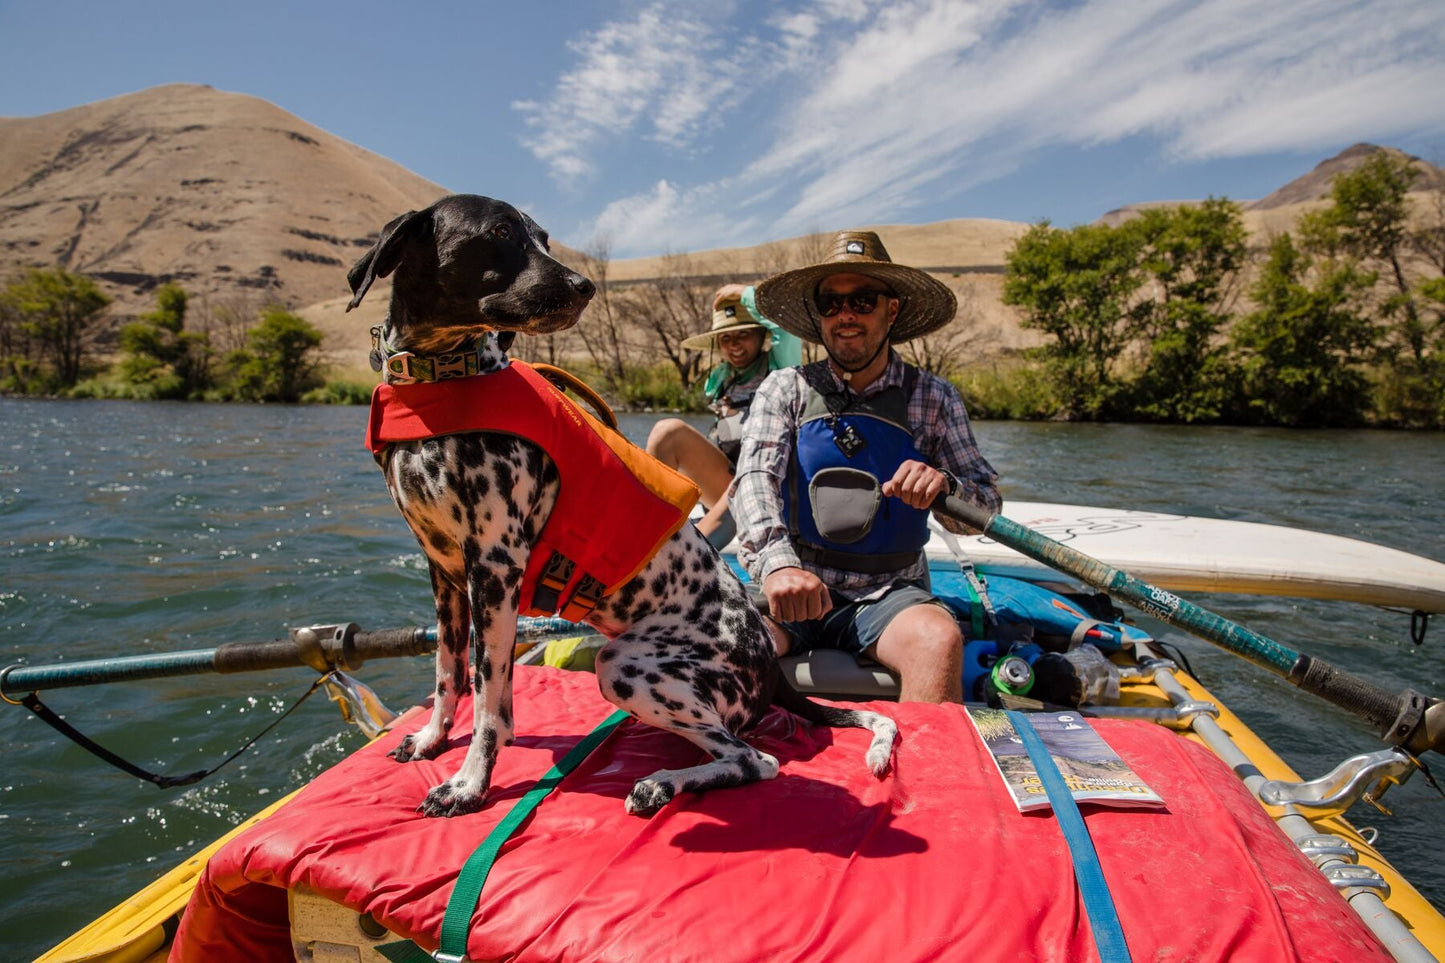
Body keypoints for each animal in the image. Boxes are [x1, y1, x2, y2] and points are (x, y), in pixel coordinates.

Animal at [346, 198, 890, 815]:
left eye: (543, 237)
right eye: (502, 231)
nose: (583, 287)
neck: (440, 378)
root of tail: (773, 671)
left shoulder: (494, 567)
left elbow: (486, 698)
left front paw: (468, 785)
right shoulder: (445, 571)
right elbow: (450, 674)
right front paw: (433, 740)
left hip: (625, 666)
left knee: (756, 759)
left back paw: (663, 783)